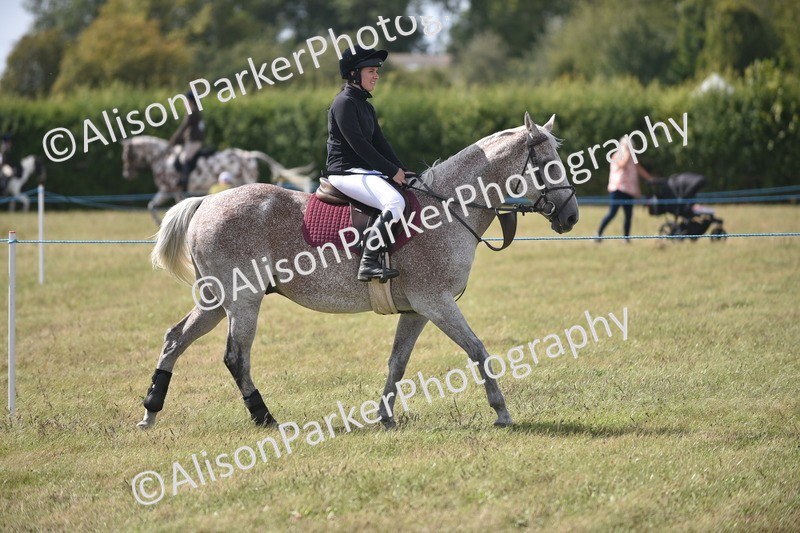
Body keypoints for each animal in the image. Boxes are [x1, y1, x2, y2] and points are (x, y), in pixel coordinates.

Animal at [120, 135, 316, 224]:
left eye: (127, 155)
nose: (127, 174)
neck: (163, 159)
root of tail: (249, 155)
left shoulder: (172, 190)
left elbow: (156, 206)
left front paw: (161, 222)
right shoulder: (167, 191)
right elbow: (151, 205)